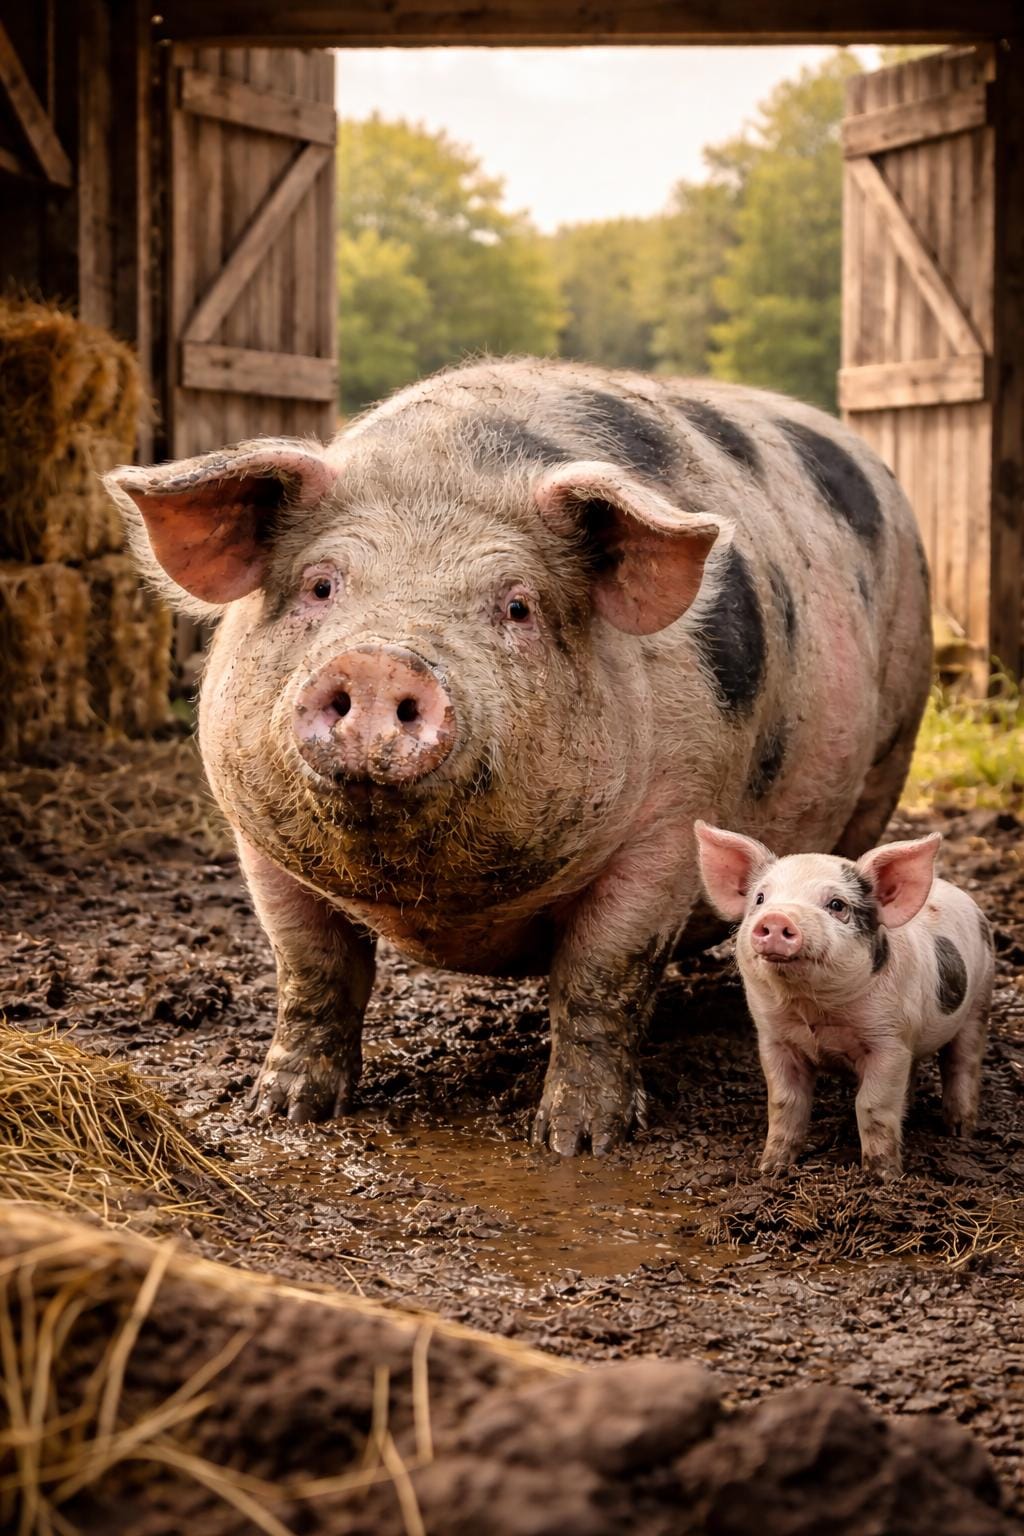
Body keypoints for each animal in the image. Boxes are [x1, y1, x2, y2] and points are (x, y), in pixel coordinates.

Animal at [104, 357, 932, 1156]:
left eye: (517, 606)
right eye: (320, 585)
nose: (379, 663)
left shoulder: (671, 828)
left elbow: (602, 976)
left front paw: (578, 1143)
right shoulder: (256, 836)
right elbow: (312, 967)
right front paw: (283, 1112)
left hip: (890, 749)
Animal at [695, 823, 994, 1177]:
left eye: (837, 905)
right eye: (760, 898)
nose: (778, 917)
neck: (815, 1011)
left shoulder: (889, 1041)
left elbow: (872, 1104)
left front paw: (883, 1176)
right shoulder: (773, 1039)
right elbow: (784, 1101)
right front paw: (771, 1168)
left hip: (979, 1001)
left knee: (963, 1063)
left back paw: (960, 1132)